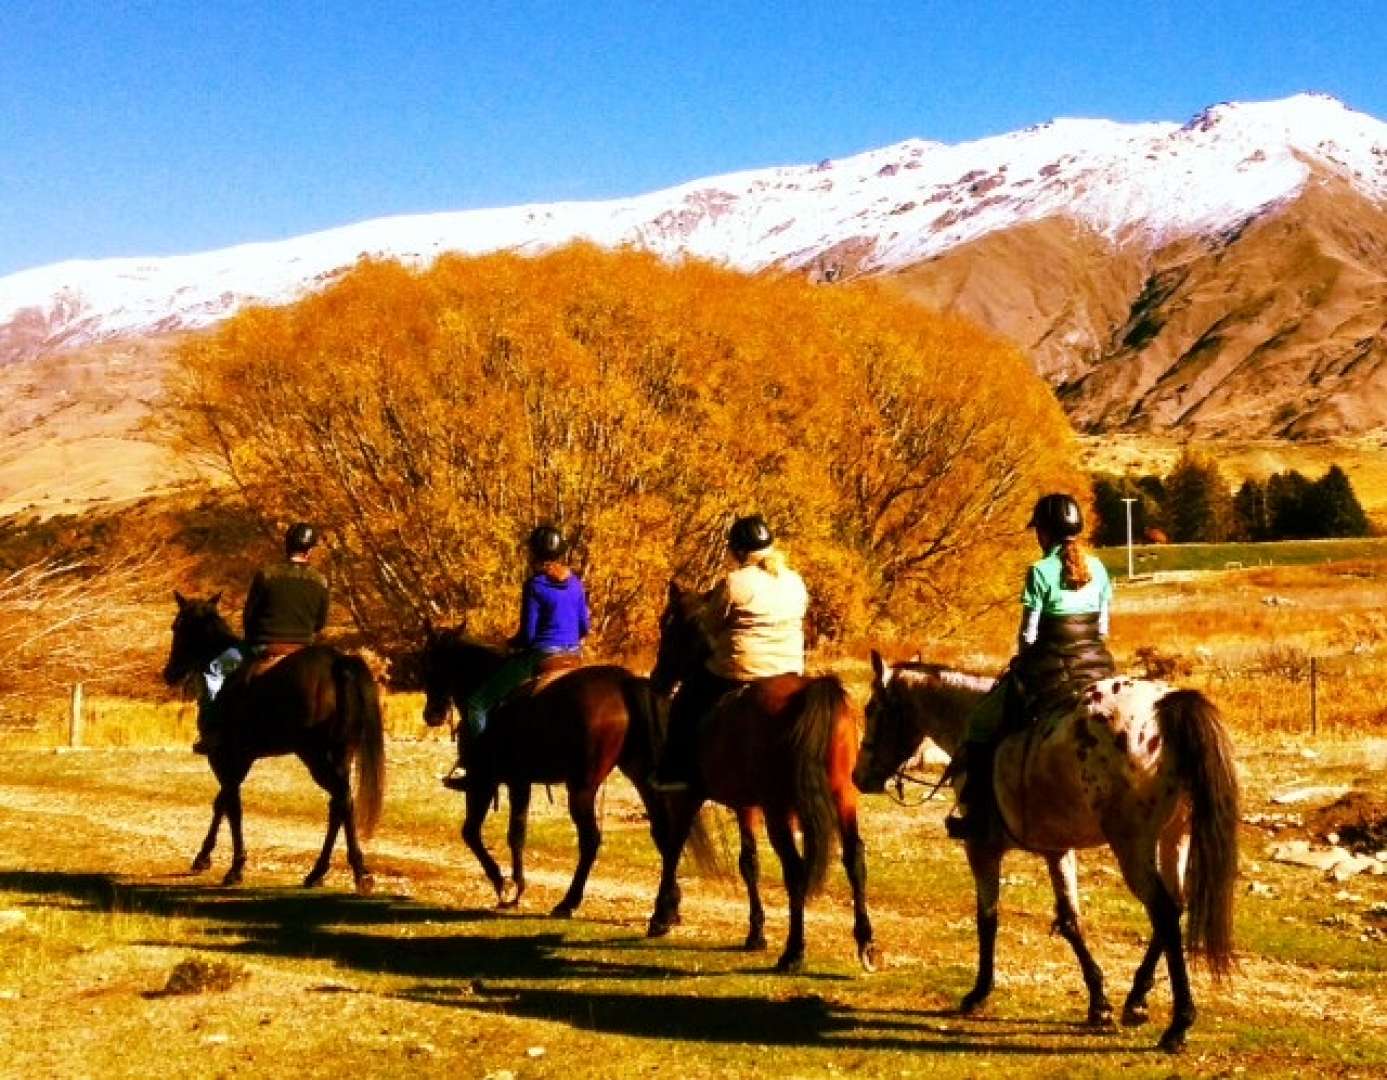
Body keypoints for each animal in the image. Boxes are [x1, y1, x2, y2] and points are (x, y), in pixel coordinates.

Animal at [162, 596, 385, 892]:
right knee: (341, 804)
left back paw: (351, 871)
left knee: (341, 800)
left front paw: (232, 867)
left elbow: (230, 805)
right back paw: (326, 872)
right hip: (339, 754)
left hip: (315, 755)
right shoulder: (242, 759)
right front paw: (206, 858)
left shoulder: (225, 757)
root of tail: (339, 662)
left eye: (178, 627)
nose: (169, 673)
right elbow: (223, 802)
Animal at [416, 623, 671, 920]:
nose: (431, 714)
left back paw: (568, 902)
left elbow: (473, 833)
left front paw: (504, 885)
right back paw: (665, 912)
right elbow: (517, 834)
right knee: (664, 833)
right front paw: (516, 887)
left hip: (581, 787)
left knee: (590, 840)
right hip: (640, 777)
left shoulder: (484, 781)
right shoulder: (520, 782)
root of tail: (623, 684)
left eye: (431, 663)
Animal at [640, 587, 876, 976]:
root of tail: (809, 692)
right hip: (842, 797)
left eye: (668, 626)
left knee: (795, 871)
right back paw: (866, 943)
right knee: (854, 860)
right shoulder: (746, 804)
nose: (658, 680)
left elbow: (674, 847)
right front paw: (756, 932)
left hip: (780, 810)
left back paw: (794, 951)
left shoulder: (691, 796)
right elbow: (749, 861)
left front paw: (662, 915)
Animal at [854, 651, 1237, 1053]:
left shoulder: (982, 849)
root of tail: (1166, 706)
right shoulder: (1057, 851)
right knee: (1174, 909)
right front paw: (1098, 1002)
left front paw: (978, 993)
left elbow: (987, 919)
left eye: (871, 709)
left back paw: (1178, 1024)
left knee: (1163, 912)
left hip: (1132, 845)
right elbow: (1070, 921)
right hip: (1174, 837)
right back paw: (1137, 1000)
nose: (858, 777)